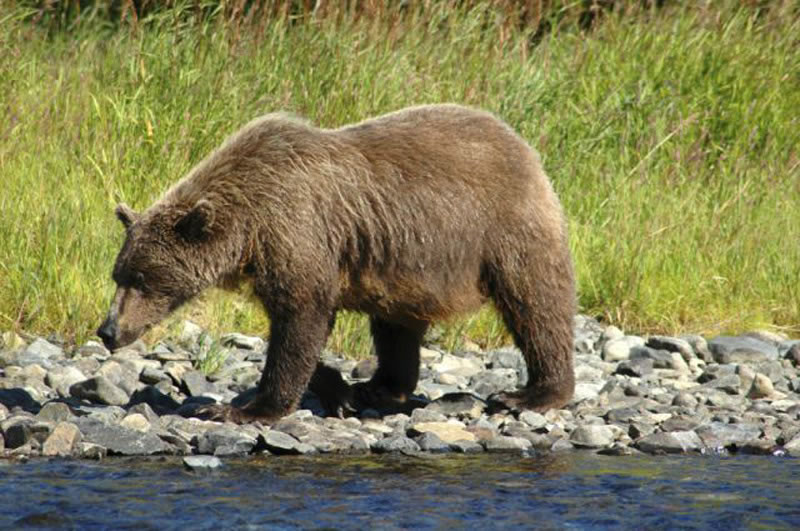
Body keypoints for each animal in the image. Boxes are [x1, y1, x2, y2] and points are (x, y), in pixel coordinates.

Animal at [97, 103, 576, 423]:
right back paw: (380, 388)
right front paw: (336, 388)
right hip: (403, 263)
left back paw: (532, 394)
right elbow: (299, 327)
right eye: (118, 274)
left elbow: (301, 317)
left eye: (143, 278)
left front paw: (247, 408)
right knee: (395, 328)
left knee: (536, 303)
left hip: (503, 229)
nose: (108, 331)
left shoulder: (297, 230)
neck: (247, 230)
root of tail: (521, 143)